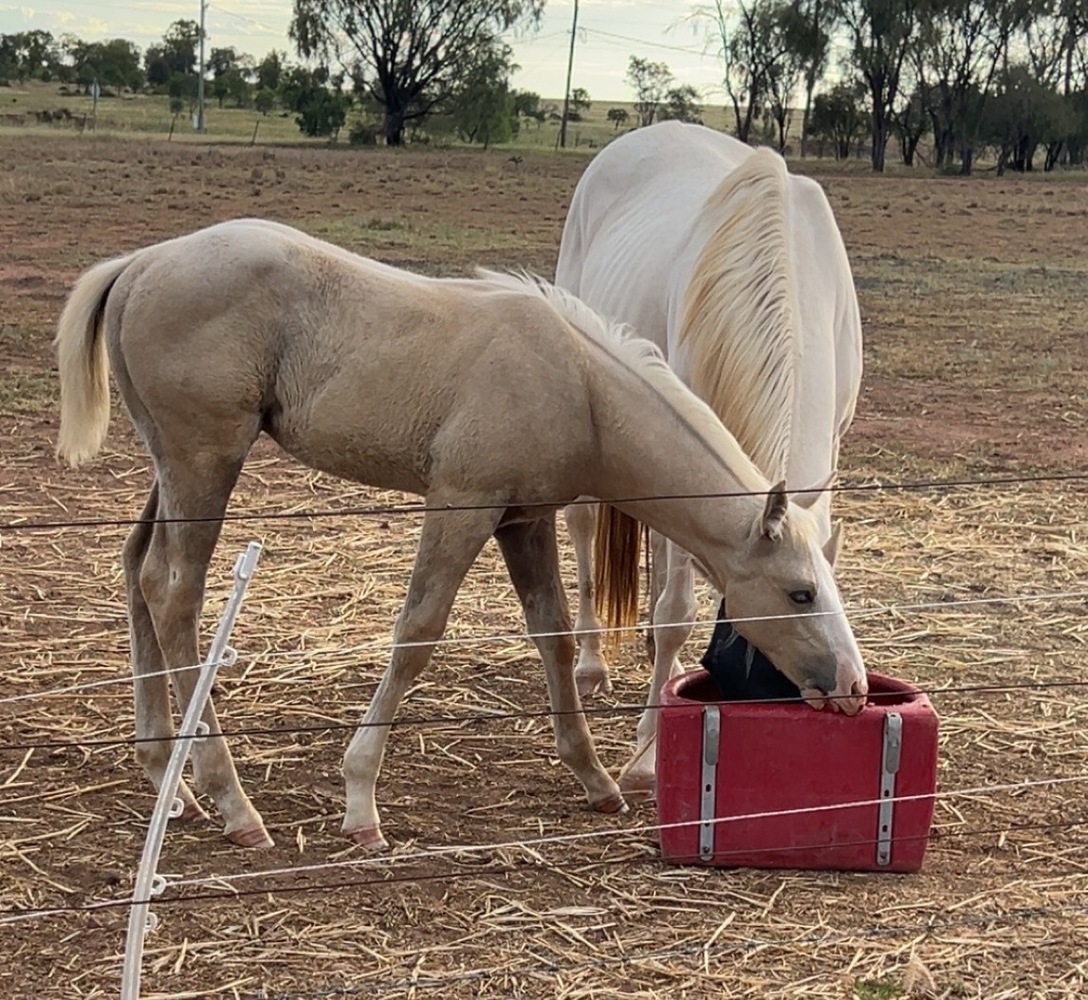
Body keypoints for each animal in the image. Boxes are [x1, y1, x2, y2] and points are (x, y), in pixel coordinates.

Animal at [55, 217, 866, 851]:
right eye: (800, 592)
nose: (853, 689)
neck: (580, 384)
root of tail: (138, 265)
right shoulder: (462, 505)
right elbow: (418, 633)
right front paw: (360, 802)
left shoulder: (524, 520)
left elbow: (553, 636)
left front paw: (596, 778)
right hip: (205, 462)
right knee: (174, 594)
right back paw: (232, 804)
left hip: (173, 467)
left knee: (138, 573)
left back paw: (168, 778)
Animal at [555, 121, 864, 794]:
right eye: (797, 598)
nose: (843, 693)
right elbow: (676, 612)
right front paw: (648, 753)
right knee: (585, 526)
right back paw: (591, 662)